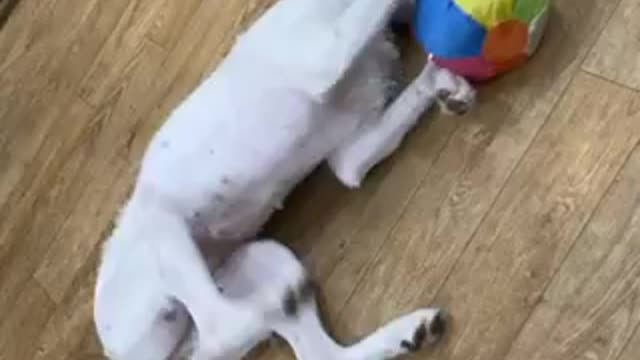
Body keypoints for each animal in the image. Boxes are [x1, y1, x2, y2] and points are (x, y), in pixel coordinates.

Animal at [94, 0, 476, 360]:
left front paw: (438, 80)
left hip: (263, 258)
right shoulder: (325, 58)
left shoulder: (350, 156)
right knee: (226, 327)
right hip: (160, 220)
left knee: (320, 352)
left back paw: (410, 333)